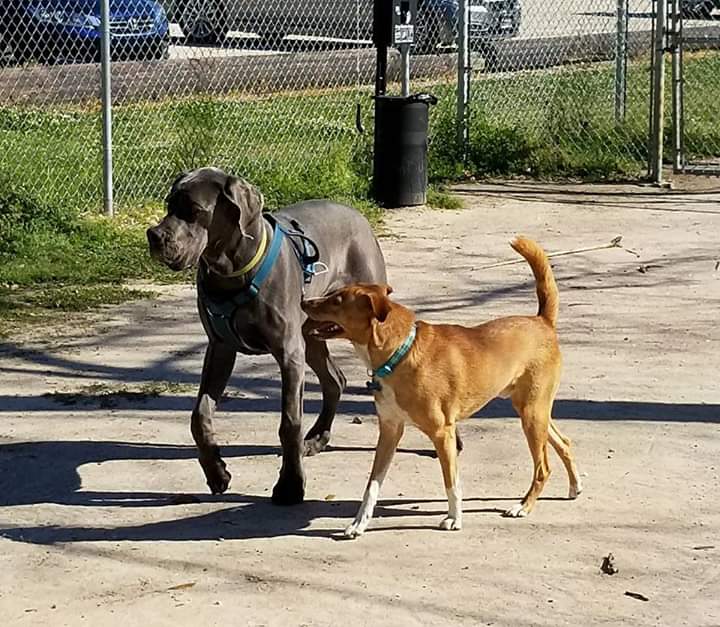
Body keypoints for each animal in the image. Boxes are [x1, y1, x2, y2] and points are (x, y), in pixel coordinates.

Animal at [300, 238, 584, 536]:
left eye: (337, 300)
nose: (304, 300)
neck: (401, 353)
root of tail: (542, 321)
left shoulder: (442, 434)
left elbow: (452, 483)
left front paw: (454, 518)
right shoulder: (389, 431)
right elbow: (372, 486)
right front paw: (359, 523)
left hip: (531, 414)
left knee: (543, 467)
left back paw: (523, 506)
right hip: (532, 410)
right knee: (564, 442)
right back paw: (574, 485)